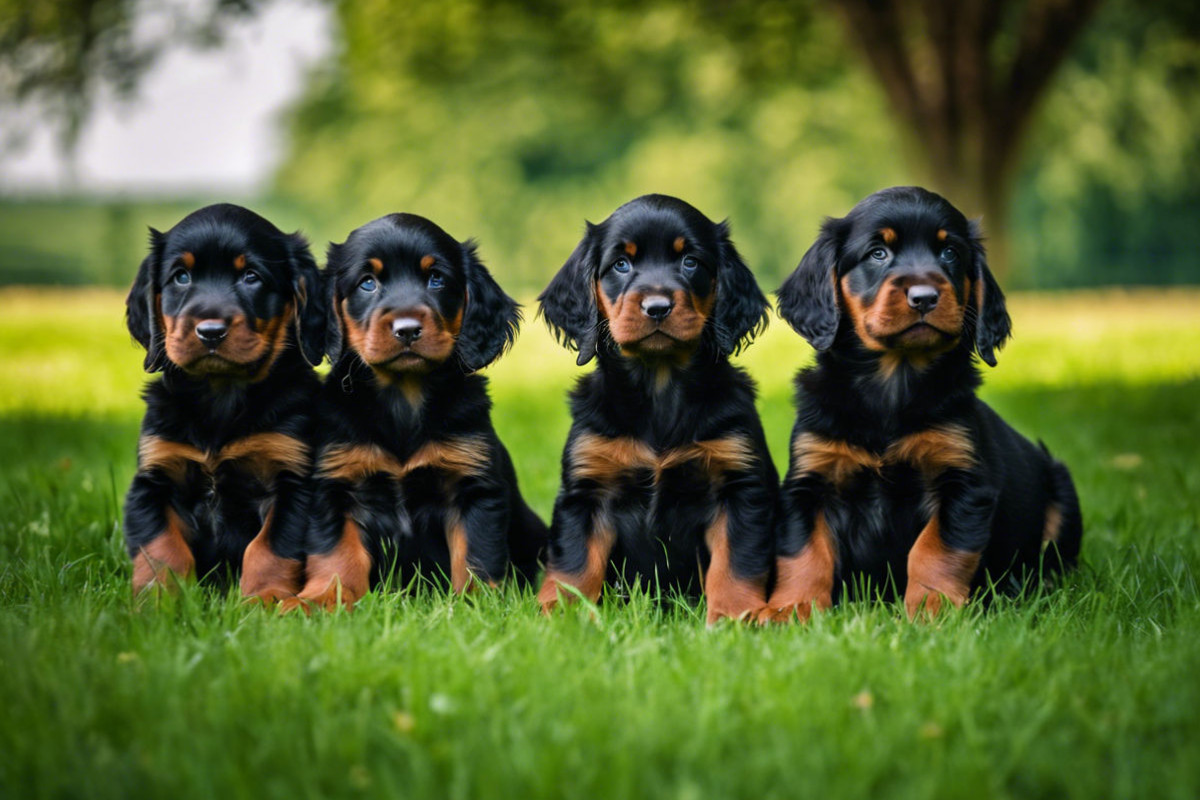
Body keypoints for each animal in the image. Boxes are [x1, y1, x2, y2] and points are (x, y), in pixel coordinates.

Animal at [123, 203, 326, 604]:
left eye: (251, 277)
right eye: (181, 277)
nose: (210, 332)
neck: (221, 395)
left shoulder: (291, 482)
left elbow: (269, 547)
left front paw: (263, 598)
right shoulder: (153, 480)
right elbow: (161, 547)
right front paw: (160, 601)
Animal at [288, 215, 549, 609]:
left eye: (436, 278)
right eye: (367, 282)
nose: (407, 329)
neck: (404, 396)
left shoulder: (473, 488)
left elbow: (476, 556)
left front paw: (476, 606)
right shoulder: (337, 485)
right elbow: (335, 555)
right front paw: (319, 600)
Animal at [537, 194, 777, 623]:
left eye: (690, 262)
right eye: (621, 264)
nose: (657, 307)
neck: (660, 387)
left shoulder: (738, 487)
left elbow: (736, 562)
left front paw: (736, 617)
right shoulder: (587, 492)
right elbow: (574, 565)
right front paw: (564, 617)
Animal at [763, 184, 1084, 623]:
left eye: (950, 253)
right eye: (878, 253)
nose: (925, 297)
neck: (893, 384)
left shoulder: (963, 484)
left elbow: (936, 550)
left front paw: (933, 612)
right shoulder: (810, 481)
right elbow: (803, 553)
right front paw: (791, 611)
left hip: (1061, 492)